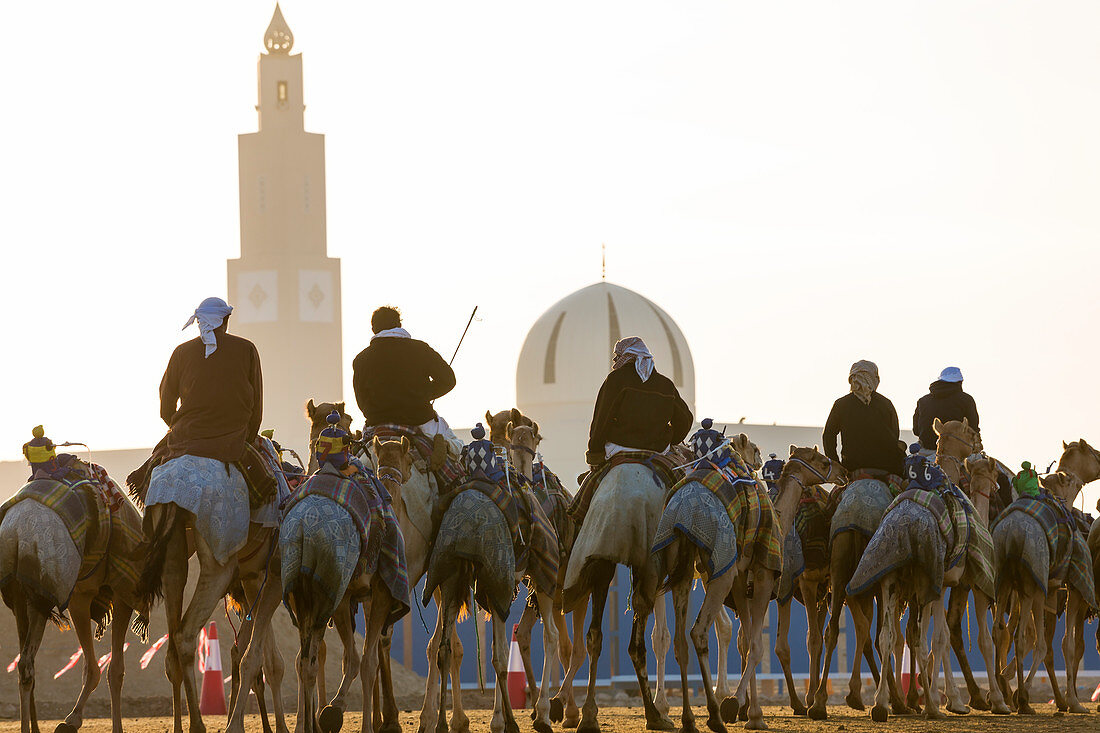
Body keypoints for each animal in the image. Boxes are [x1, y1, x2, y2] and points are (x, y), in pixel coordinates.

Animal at [0, 464, 146, 733]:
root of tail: (17, 531)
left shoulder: (82, 595)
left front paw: (71, 720)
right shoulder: (115, 589)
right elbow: (112, 670)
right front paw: (78, 721)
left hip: (20, 593)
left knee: (25, 664)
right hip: (45, 589)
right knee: (29, 662)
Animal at [655, 442, 844, 726]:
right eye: (822, 461)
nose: (843, 472)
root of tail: (681, 509)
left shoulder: (743, 583)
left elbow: (746, 642)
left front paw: (748, 710)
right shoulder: (766, 576)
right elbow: (760, 646)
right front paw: (744, 709)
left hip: (681, 566)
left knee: (678, 639)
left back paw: (688, 719)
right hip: (722, 568)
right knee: (698, 631)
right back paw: (714, 714)